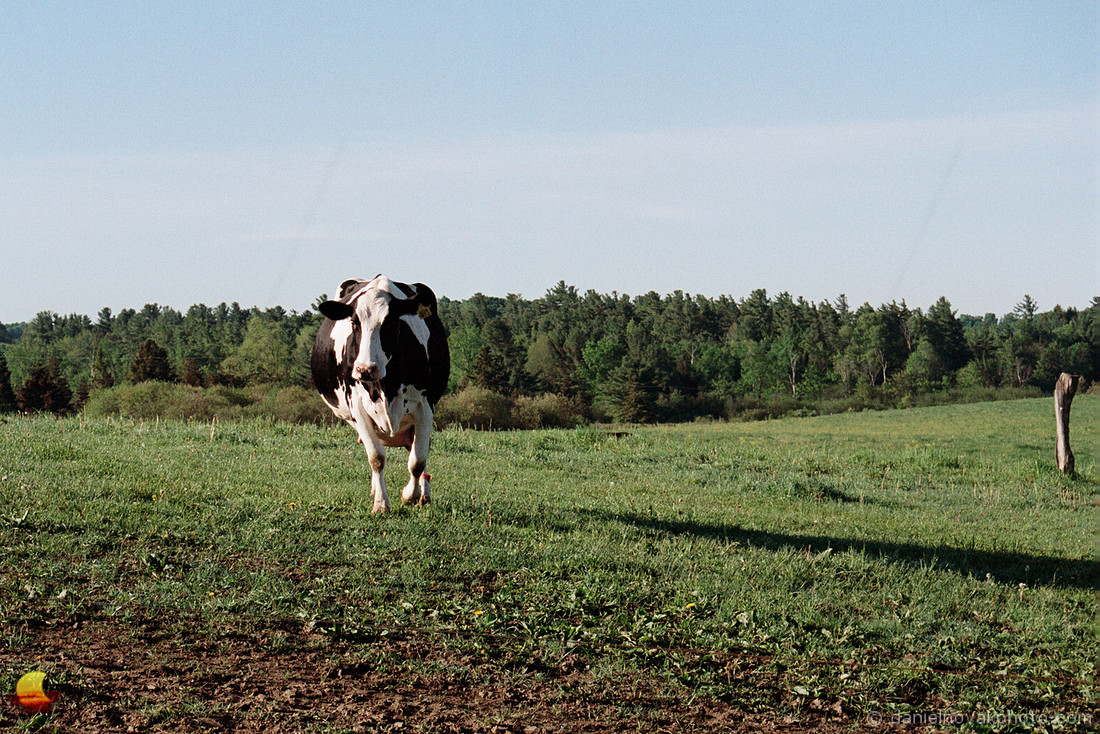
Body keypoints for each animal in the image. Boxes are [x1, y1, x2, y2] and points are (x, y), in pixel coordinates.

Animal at [311, 275, 450, 513]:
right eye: (354, 323)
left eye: (391, 323)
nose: (366, 369)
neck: (387, 387)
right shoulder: (357, 405)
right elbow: (376, 457)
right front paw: (381, 503)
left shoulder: (425, 406)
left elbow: (418, 460)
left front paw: (410, 495)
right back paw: (377, 490)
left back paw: (424, 495)